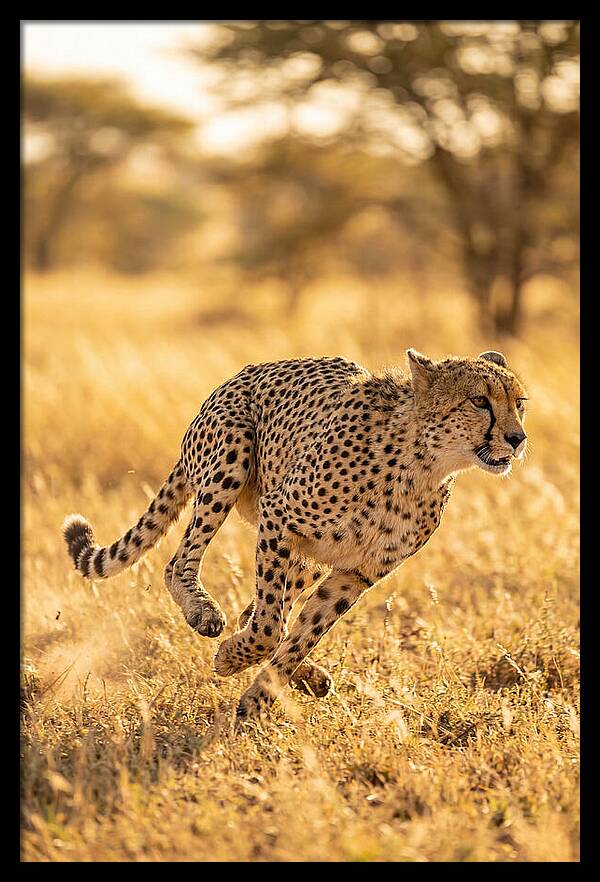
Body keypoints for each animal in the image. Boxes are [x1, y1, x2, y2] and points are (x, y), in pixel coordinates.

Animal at [63, 348, 528, 725]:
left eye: (519, 403)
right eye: (479, 401)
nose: (517, 438)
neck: (422, 464)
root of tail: (240, 374)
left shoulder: (355, 573)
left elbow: (302, 633)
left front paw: (258, 697)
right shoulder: (279, 517)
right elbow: (270, 627)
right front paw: (232, 659)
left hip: (307, 558)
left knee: (259, 610)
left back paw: (308, 677)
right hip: (231, 457)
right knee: (181, 564)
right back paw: (203, 612)